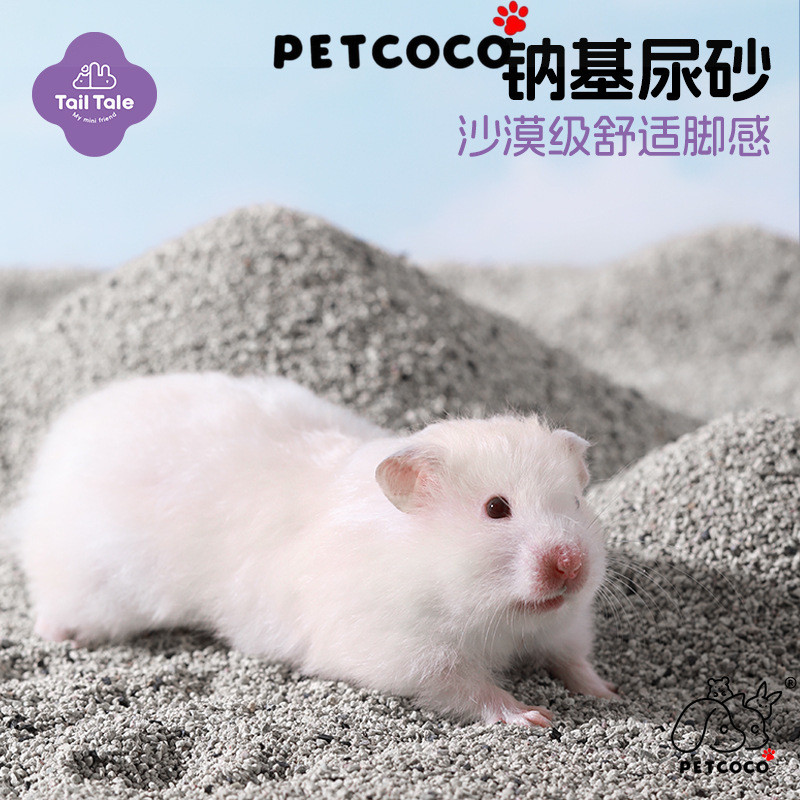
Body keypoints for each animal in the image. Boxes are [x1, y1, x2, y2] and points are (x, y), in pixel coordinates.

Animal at [14, 372, 616, 727]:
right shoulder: (404, 652)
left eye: (577, 501)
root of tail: (59, 443)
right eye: (495, 509)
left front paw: (610, 694)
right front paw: (534, 717)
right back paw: (56, 634)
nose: (572, 564)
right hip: (90, 582)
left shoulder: (563, 625)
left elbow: (573, 659)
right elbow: (469, 689)